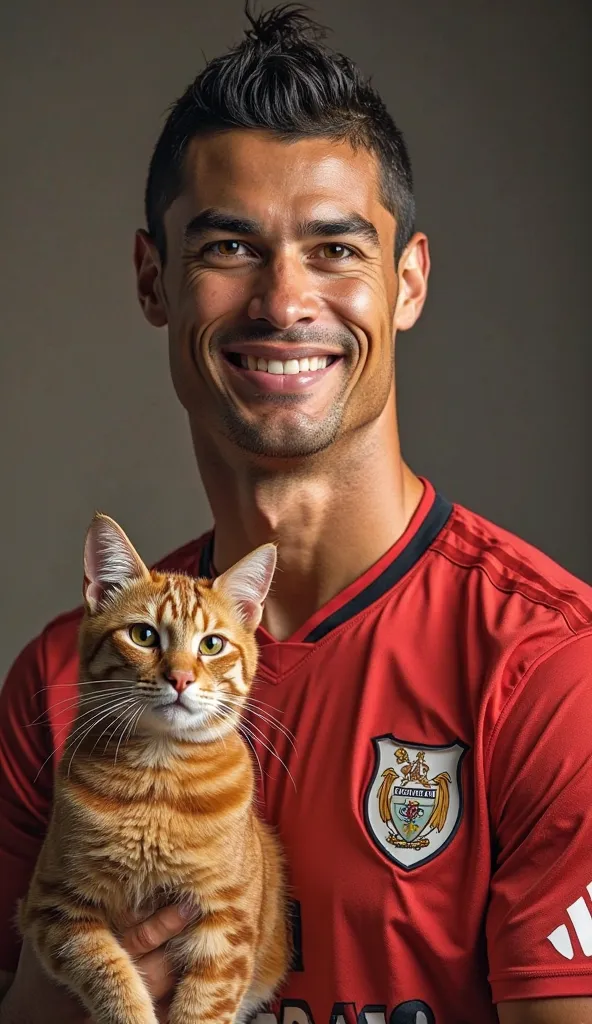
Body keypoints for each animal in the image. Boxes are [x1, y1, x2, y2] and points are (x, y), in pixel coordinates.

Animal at [21, 516, 288, 1024]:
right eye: (144, 636)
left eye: (211, 645)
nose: (180, 678)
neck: (157, 789)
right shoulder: (56, 909)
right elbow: (109, 973)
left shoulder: (227, 924)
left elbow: (204, 1006)